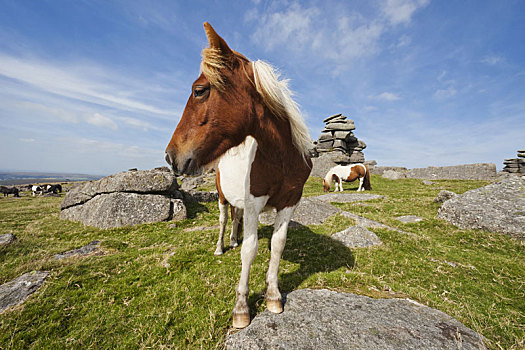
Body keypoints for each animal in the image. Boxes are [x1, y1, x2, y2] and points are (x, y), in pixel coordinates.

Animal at [164, 23, 312, 330]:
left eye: (199, 90)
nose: (171, 157)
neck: (281, 157)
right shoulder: (255, 202)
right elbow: (250, 249)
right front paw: (242, 307)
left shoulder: (290, 202)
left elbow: (277, 246)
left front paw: (273, 295)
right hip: (222, 197)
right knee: (223, 220)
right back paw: (222, 247)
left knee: (235, 218)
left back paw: (233, 239)